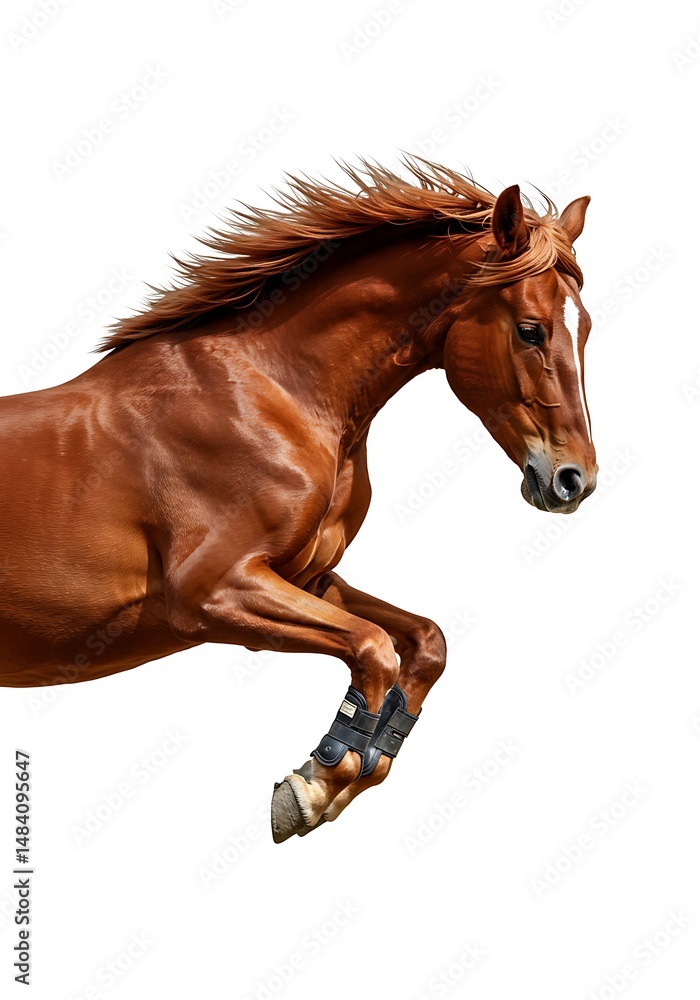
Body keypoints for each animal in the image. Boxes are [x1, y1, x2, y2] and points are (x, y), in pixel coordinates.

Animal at [0, 158, 597, 842]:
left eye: (585, 328)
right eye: (530, 330)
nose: (574, 480)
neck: (277, 394)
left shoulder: (304, 577)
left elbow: (425, 642)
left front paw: (342, 774)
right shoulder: (212, 592)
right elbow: (374, 647)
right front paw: (311, 788)